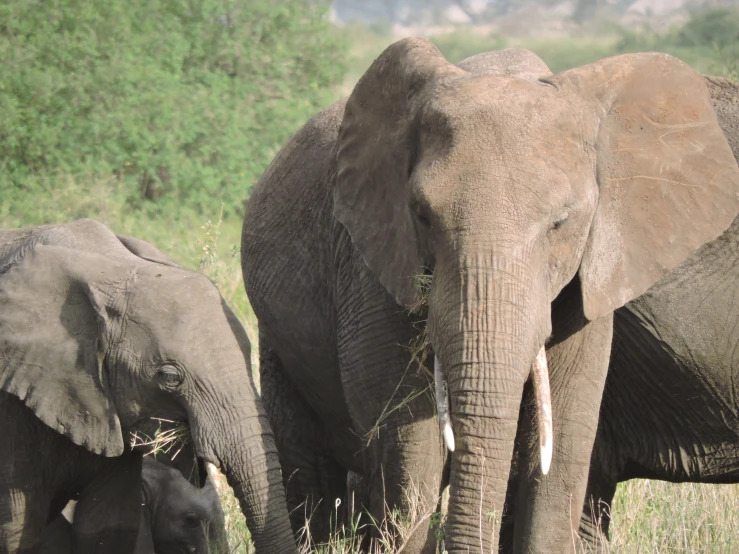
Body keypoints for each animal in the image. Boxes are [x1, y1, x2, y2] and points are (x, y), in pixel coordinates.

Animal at [241, 36, 739, 548]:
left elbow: (565, 440)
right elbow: (408, 444)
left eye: (562, 222)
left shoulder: (594, 277)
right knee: (310, 476)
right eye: (421, 214)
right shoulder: (373, 261)